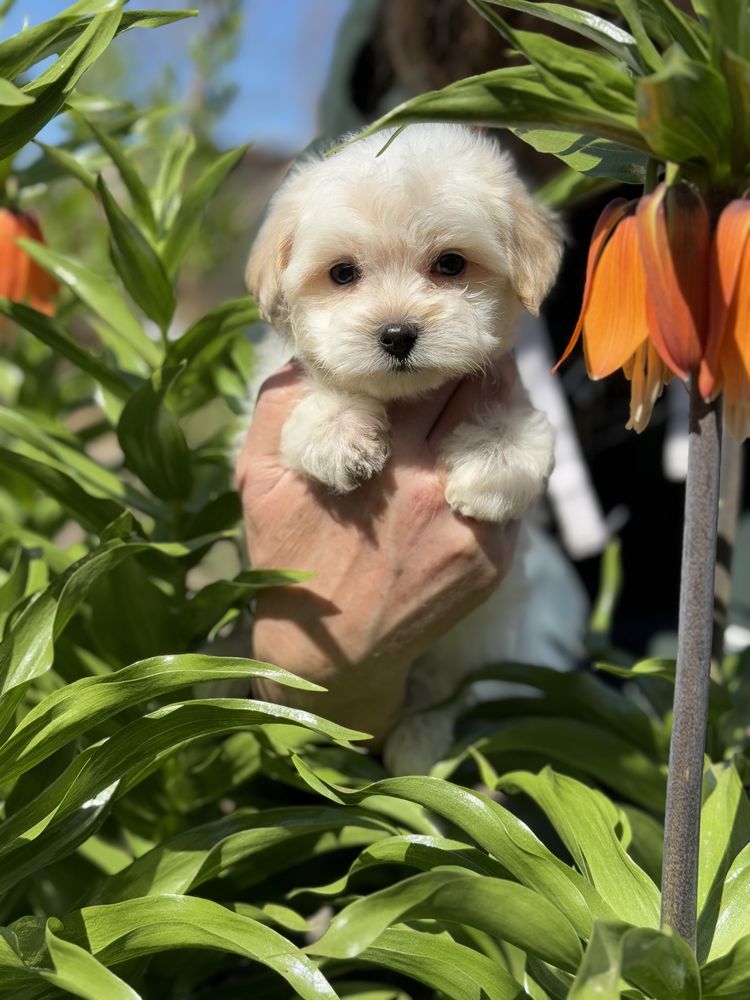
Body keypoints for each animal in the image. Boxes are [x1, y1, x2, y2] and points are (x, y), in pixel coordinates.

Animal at [247, 125, 564, 772]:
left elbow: (525, 433)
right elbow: (316, 393)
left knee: (440, 695)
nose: (396, 334)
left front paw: (491, 461)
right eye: (343, 274)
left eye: (450, 264)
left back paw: (419, 746)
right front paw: (340, 431)